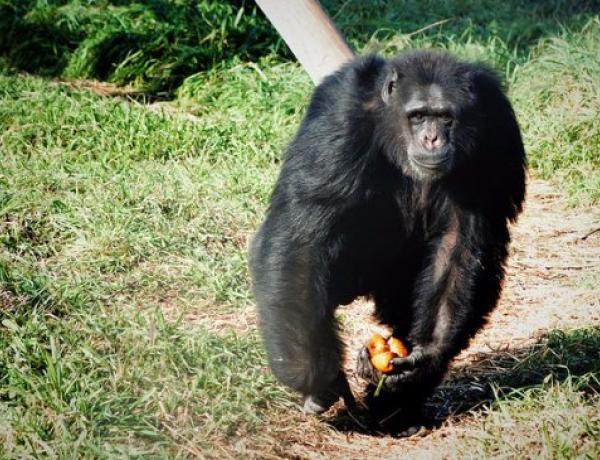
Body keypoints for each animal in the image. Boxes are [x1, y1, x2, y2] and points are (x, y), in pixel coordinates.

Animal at [248, 50, 524, 420]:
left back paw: (397, 407)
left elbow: (461, 242)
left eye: (445, 117)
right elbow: (303, 234)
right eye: (418, 116)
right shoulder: (339, 119)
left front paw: (427, 355)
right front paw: (322, 378)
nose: (432, 138)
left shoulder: (497, 122)